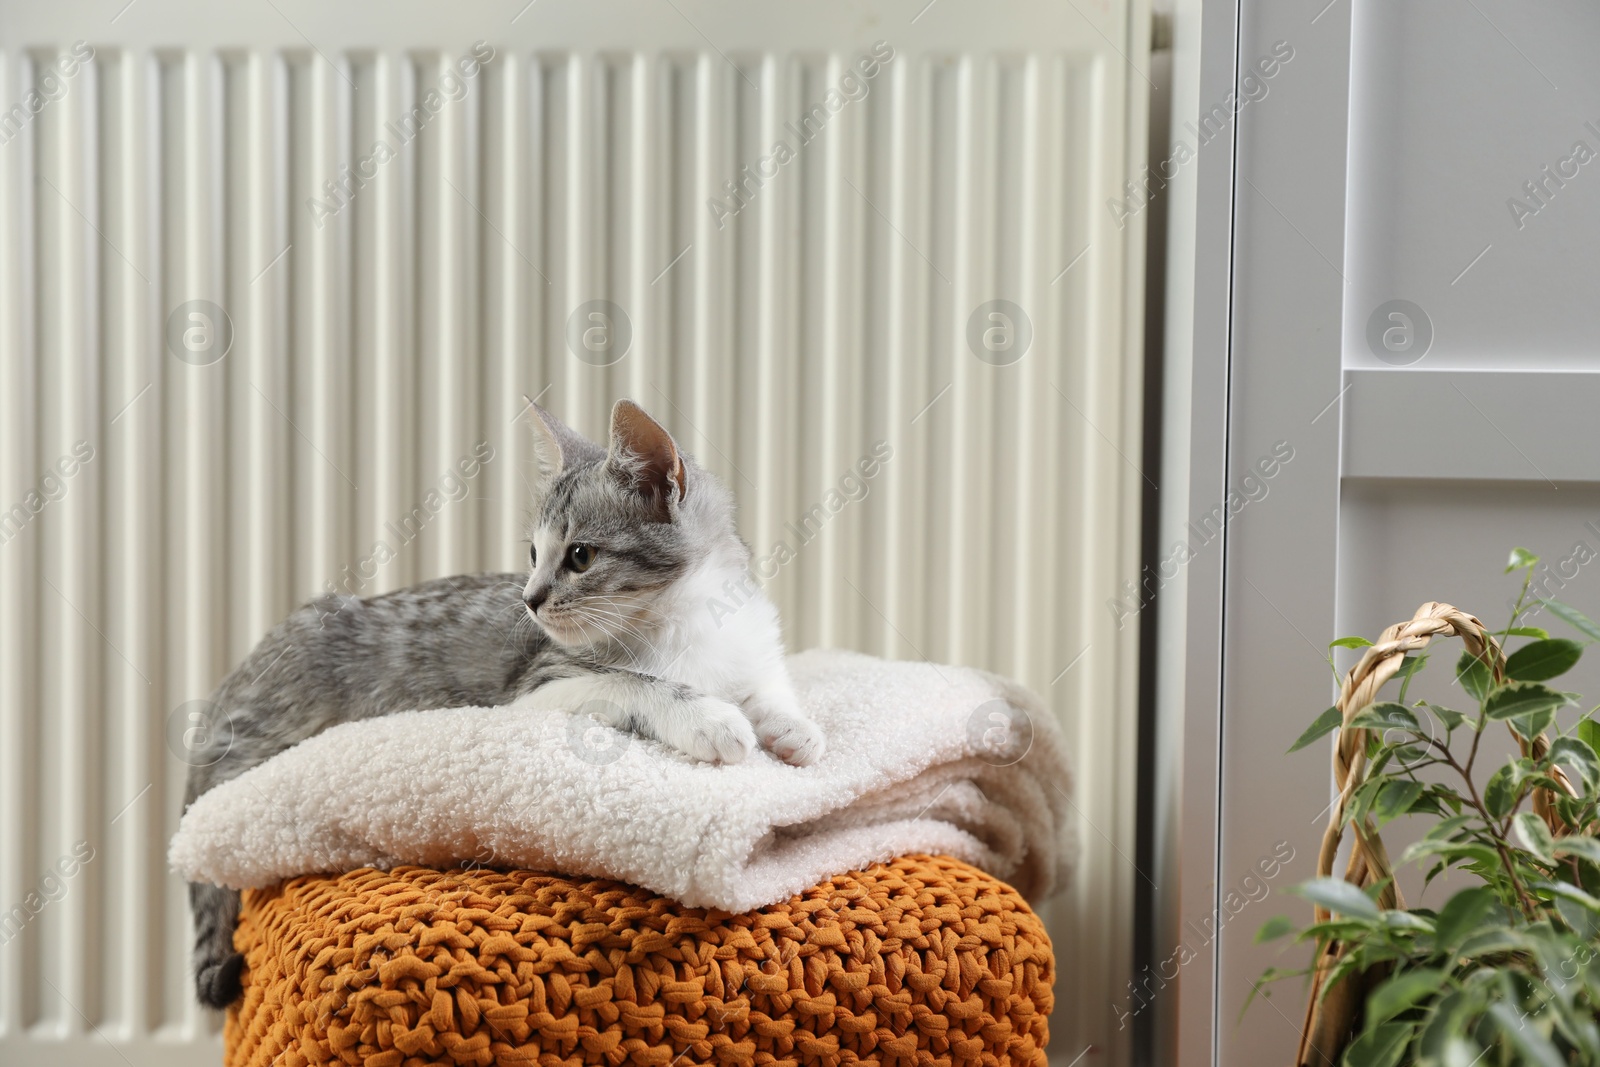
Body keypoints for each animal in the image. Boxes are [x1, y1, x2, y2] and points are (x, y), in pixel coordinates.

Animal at [181, 398, 819, 1011]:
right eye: (534, 553)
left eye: (580, 556)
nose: (530, 599)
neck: (687, 623)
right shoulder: (536, 685)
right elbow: (631, 682)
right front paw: (708, 717)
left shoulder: (754, 642)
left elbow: (771, 686)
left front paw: (795, 729)